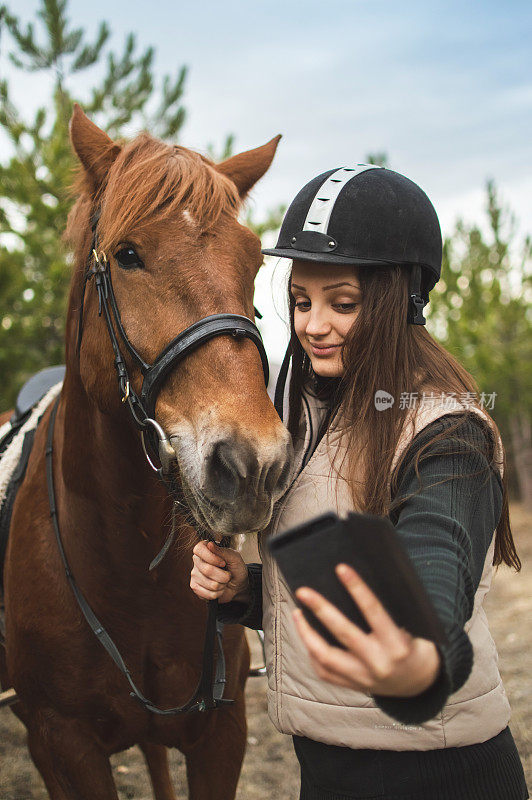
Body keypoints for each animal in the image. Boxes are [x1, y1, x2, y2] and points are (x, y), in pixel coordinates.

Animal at [0, 106, 290, 800]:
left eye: (251, 258)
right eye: (127, 255)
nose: (253, 465)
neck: (130, 569)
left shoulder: (221, 736)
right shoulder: (60, 747)